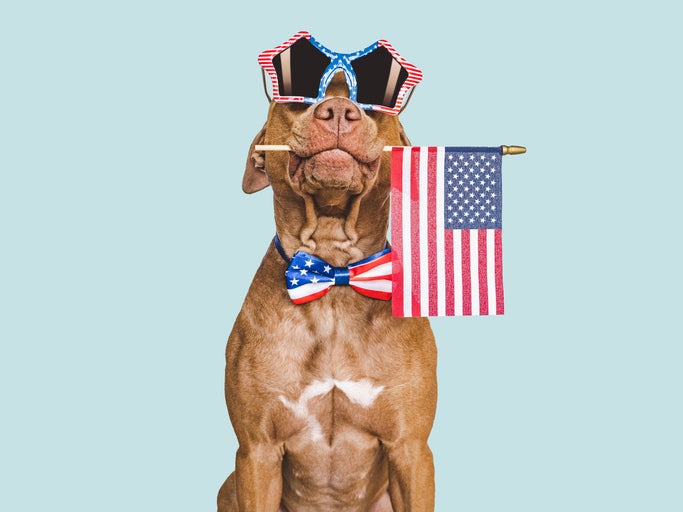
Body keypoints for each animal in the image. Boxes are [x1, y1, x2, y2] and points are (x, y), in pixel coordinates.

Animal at [219, 72, 438, 512]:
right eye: (298, 99)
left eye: (372, 102)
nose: (337, 110)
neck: (333, 271)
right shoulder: (256, 452)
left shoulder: (411, 450)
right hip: (230, 486)